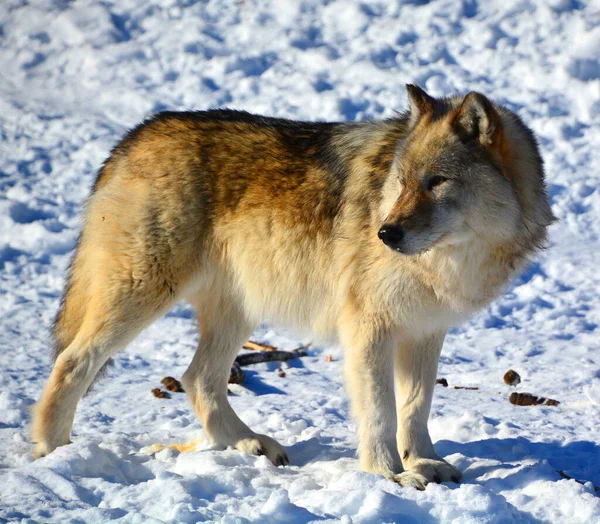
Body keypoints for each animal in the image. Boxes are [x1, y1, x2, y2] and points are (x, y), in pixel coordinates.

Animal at [31, 84, 552, 490]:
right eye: (402, 182)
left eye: (437, 181)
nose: (385, 233)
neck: (447, 262)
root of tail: (134, 136)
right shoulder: (369, 329)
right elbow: (381, 411)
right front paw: (389, 474)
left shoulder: (426, 332)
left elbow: (416, 406)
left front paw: (424, 462)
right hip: (144, 293)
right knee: (73, 361)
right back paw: (52, 453)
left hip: (237, 311)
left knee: (197, 378)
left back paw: (249, 443)